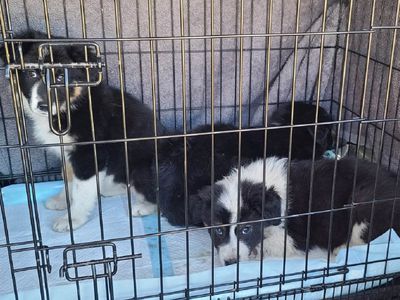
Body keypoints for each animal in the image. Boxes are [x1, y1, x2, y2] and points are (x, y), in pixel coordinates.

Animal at [0, 31, 162, 232]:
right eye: (32, 73)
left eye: (60, 78)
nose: (43, 106)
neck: (69, 110)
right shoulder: (68, 153)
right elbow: (69, 179)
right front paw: (61, 200)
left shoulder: (89, 154)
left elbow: (81, 191)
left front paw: (72, 219)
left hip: (141, 167)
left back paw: (143, 207)